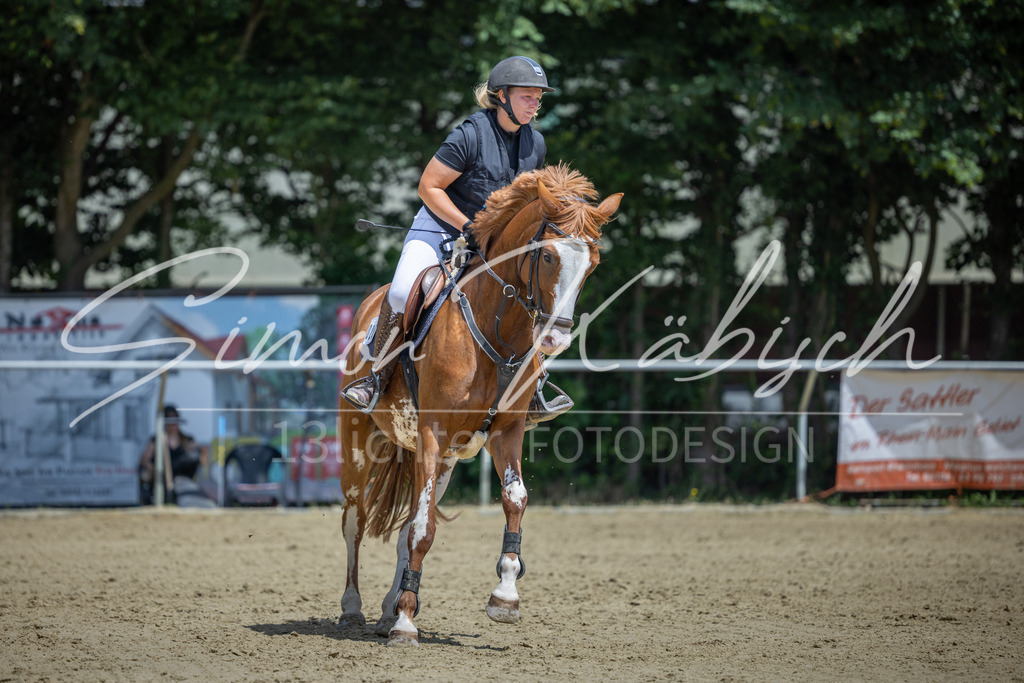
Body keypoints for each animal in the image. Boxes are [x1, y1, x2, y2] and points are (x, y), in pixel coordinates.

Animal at [337, 163, 622, 646]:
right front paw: (408, 623)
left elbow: (514, 500)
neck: (498, 328)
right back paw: (354, 608)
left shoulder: (504, 434)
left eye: (593, 263)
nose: (557, 338)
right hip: (359, 444)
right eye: (548, 257)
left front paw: (504, 596)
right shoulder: (432, 433)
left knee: (403, 528)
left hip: (444, 461)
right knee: (354, 520)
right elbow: (423, 529)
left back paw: (387, 611)